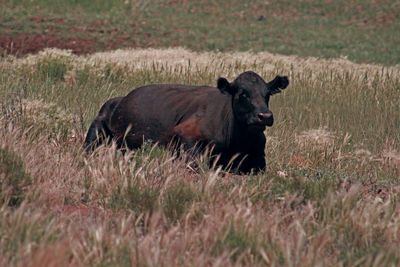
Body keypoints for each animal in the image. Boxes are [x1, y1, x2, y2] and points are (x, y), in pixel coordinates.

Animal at [84, 71, 290, 175]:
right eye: (243, 94)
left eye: (267, 94)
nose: (264, 116)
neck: (238, 141)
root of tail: (122, 99)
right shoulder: (186, 133)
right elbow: (196, 164)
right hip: (98, 127)